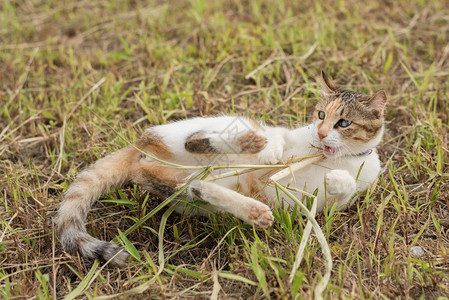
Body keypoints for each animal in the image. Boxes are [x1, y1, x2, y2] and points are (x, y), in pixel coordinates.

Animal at [55, 72, 384, 264]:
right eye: (320, 115)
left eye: (344, 123)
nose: (321, 133)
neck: (331, 156)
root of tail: (141, 148)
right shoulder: (288, 133)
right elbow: (278, 138)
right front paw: (272, 153)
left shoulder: (334, 205)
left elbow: (345, 190)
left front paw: (338, 179)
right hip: (214, 125)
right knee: (194, 141)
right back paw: (248, 145)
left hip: (187, 194)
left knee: (191, 186)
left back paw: (253, 211)